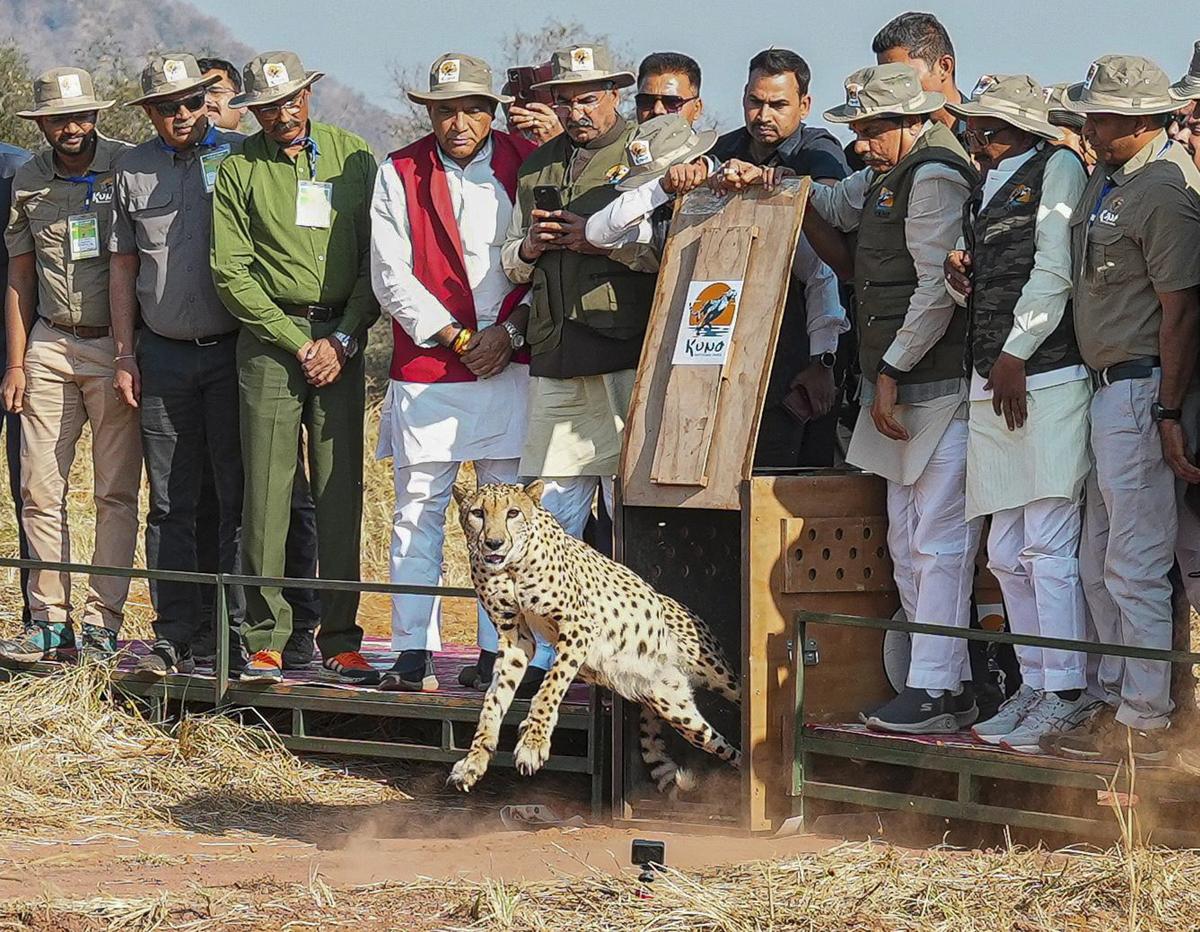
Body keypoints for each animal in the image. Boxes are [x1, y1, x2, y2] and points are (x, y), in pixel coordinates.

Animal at [446, 479, 734, 791]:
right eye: (477, 513)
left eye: (513, 513)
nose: (494, 543)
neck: (511, 566)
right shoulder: (516, 639)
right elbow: (494, 700)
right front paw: (475, 760)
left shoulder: (579, 626)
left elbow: (551, 685)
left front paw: (533, 743)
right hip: (678, 709)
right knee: (723, 745)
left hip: (718, 676)